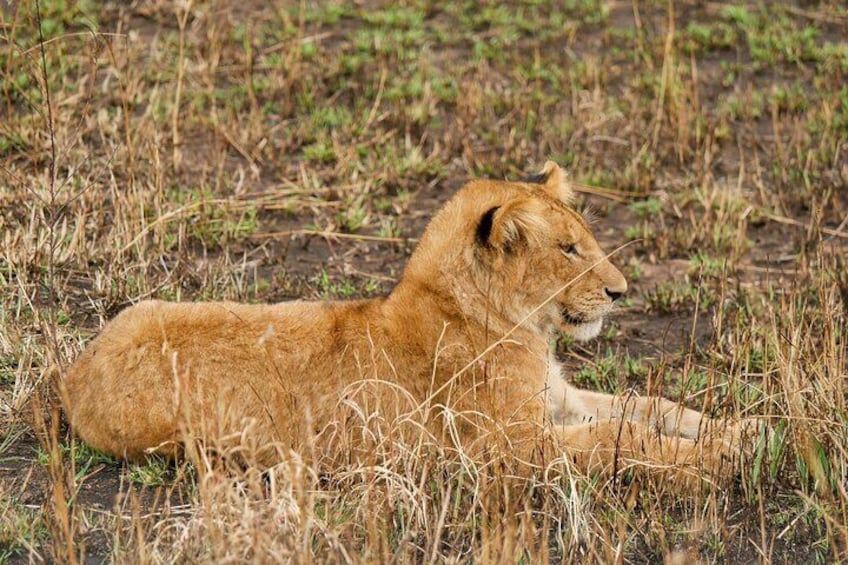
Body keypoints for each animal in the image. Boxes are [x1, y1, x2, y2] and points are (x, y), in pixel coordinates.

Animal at [61, 162, 744, 488]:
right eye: (569, 249)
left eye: (585, 238)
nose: (620, 292)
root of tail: (71, 378)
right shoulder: (511, 447)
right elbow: (617, 440)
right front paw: (717, 458)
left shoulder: (559, 399)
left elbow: (646, 406)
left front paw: (742, 431)